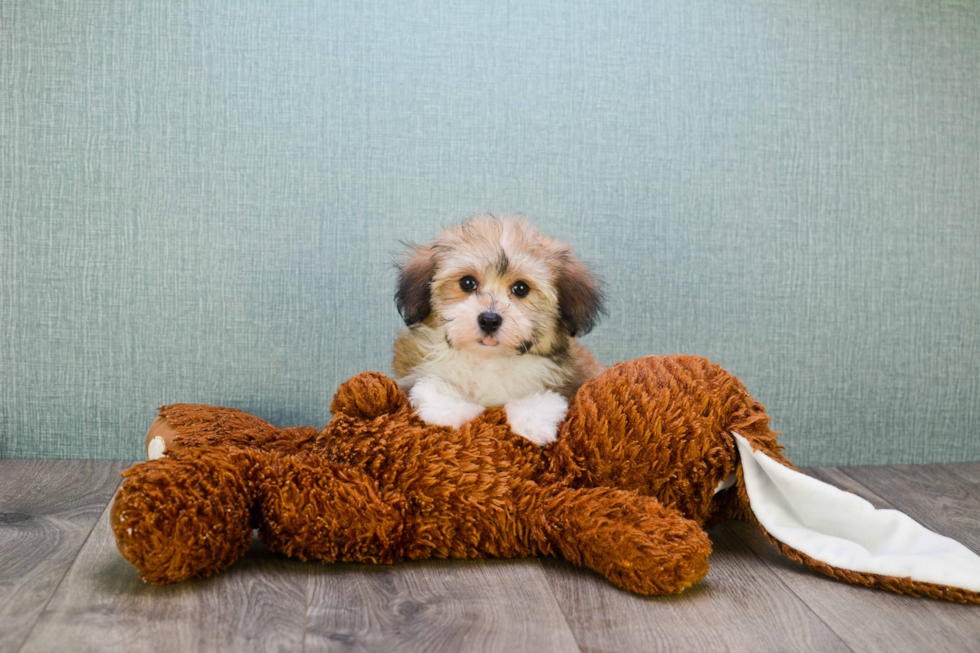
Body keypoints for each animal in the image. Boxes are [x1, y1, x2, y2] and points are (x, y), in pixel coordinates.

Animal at [392, 214, 604, 444]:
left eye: (521, 288)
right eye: (467, 282)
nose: (489, 320)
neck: (488, 359)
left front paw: (532, 421)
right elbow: (432, 384)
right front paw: (445, 410)